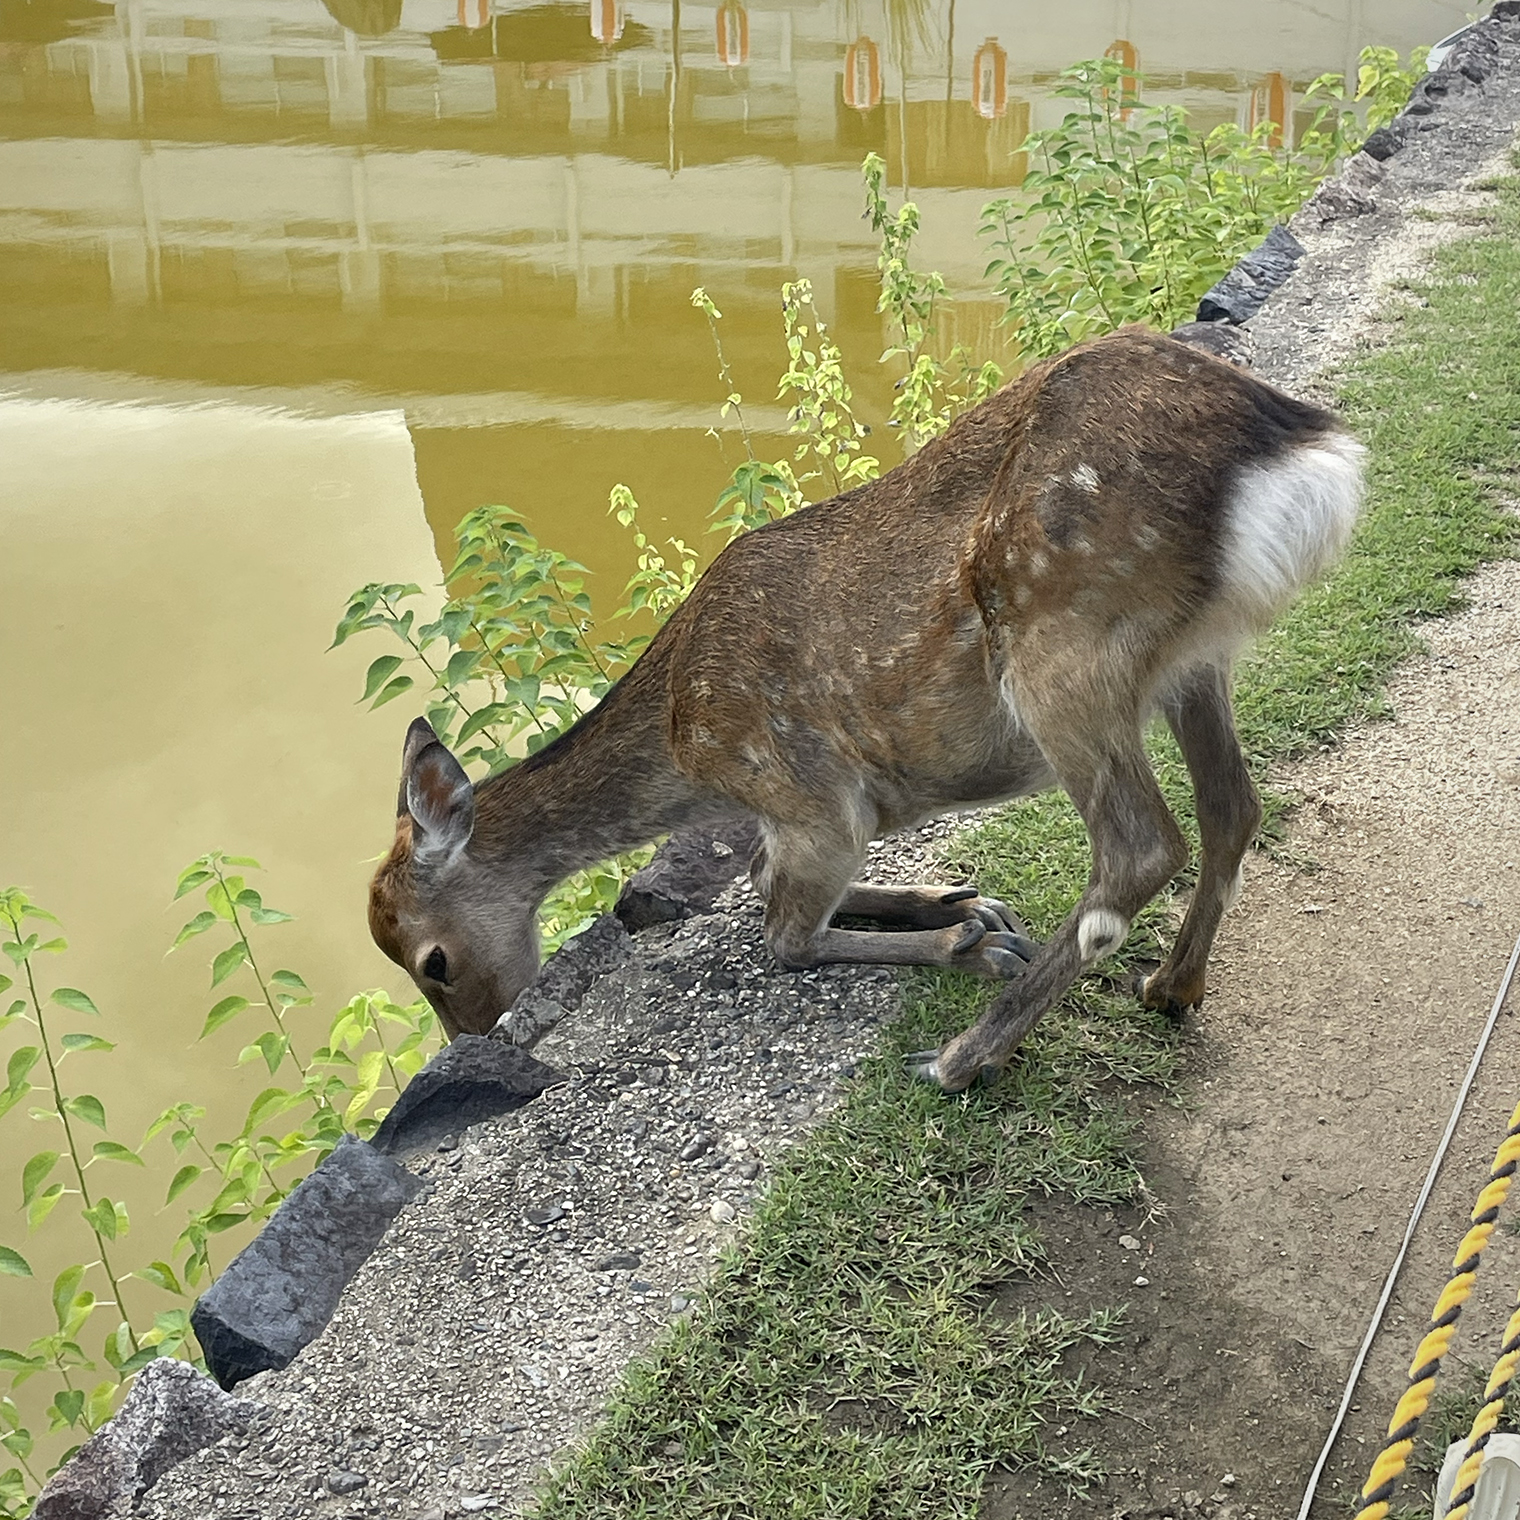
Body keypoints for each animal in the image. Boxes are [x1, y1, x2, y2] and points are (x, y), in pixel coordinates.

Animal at [368, 326, 1364, 1093]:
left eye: (430, 961)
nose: (478, 1039)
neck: (687, 754)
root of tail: (1308, 455)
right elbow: (768, 884)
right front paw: (963, 900)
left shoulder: (810, 799)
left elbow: (782, 933)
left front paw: (969, 941)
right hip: (1192, 662)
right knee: (1232, 805)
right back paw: (1169, 988)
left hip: (1062, 647)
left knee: (1140, 843)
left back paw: (964, 1057)